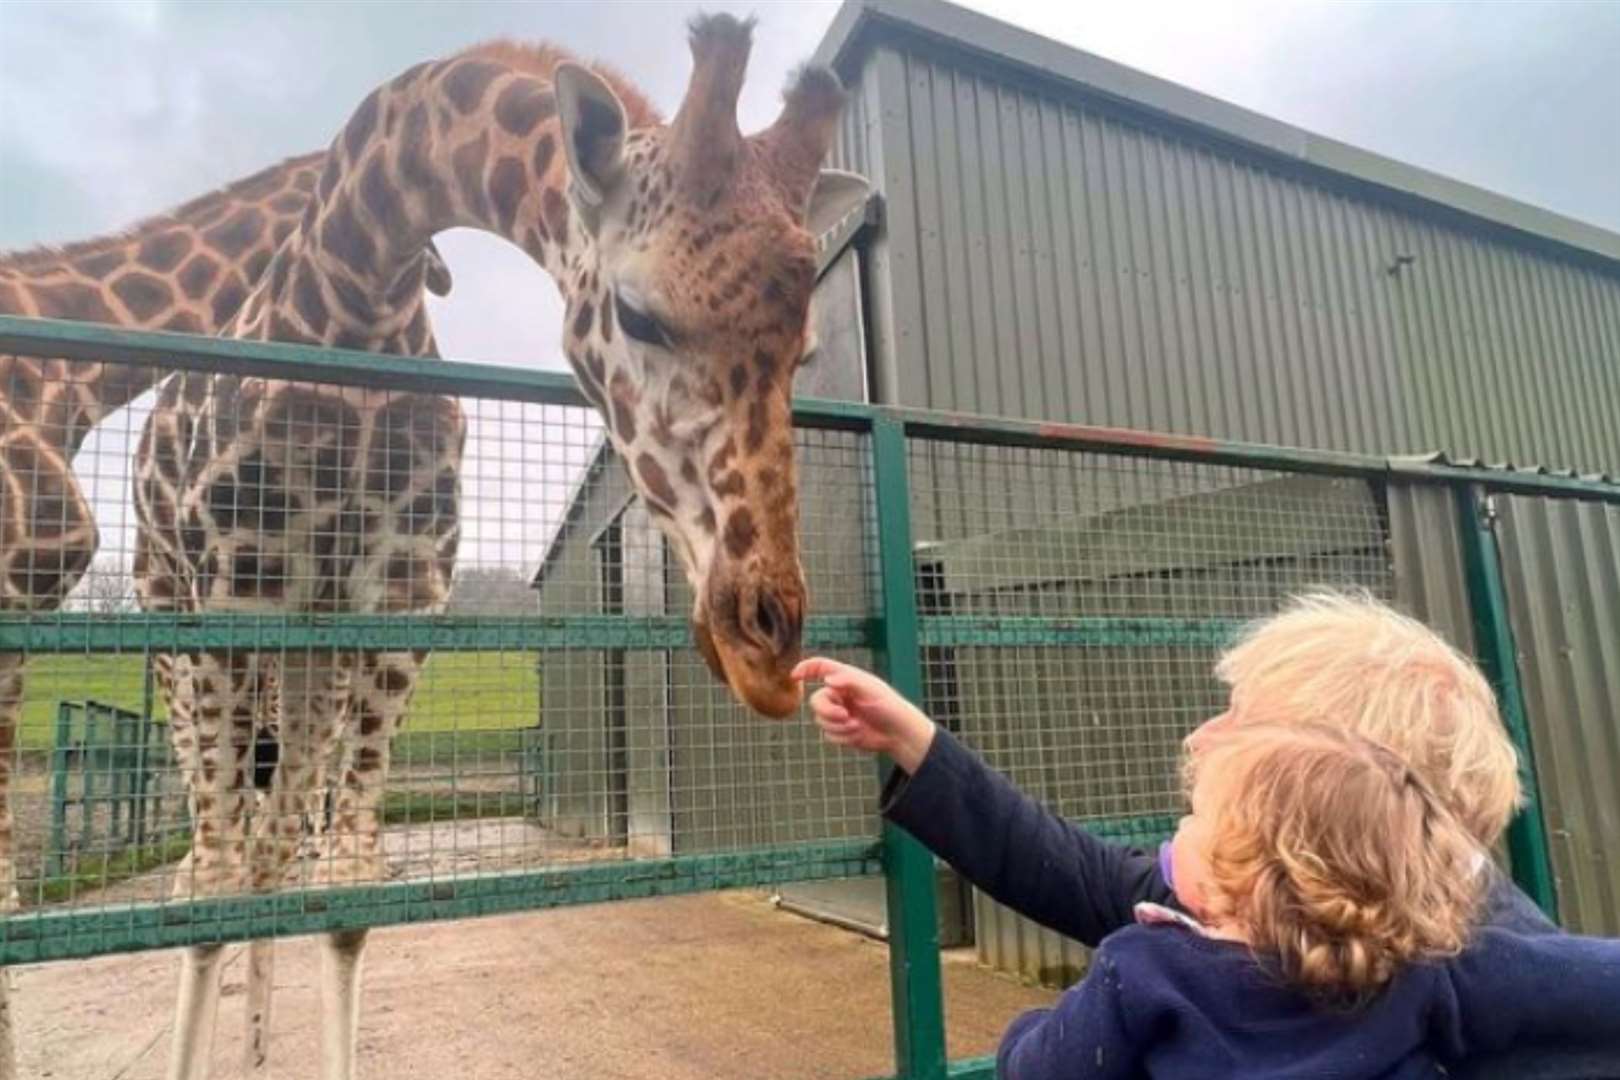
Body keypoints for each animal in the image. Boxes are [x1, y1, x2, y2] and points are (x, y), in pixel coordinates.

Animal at [127, 10, 868, 1080]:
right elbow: (216, 886)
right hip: (172, 620)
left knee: (272, 845)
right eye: (638, 313)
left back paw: (261, 1047)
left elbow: (347, 887)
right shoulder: (234, 596)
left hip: (308, 653)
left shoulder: (402, 601)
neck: (350, 301)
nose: (764, 645)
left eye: (801, 351)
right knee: (208, 866)